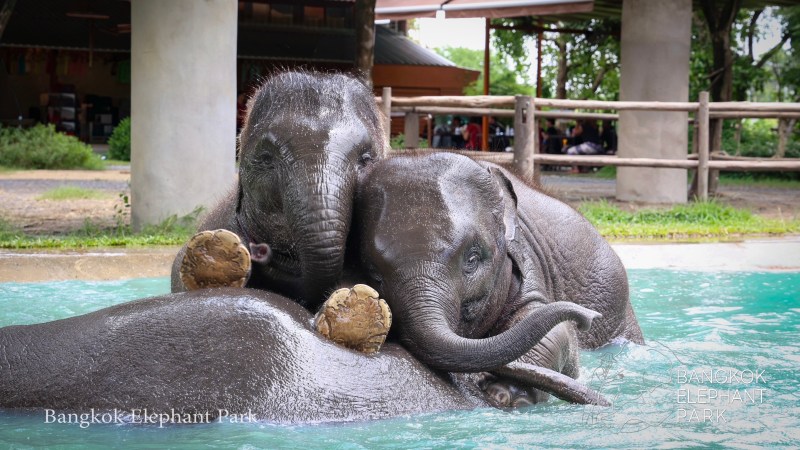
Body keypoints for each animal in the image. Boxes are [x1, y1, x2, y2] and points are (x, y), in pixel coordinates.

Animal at [352, 152, 644, 404]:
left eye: (472, 259)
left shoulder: (525, 260)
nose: (587, 317)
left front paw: (502, 395)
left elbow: (553, 326)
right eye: (373, 273)